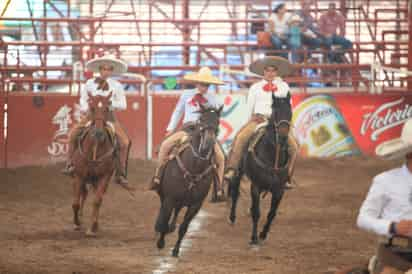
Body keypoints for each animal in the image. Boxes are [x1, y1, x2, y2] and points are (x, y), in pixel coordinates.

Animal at [70, 93, 116, 237]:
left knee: (95, 198)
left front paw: (93, 228)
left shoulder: (104, 177)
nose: (99, 133)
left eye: (107, 108)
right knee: (82, 195)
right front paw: (77, 223)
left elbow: (97, 201)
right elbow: (75, 203)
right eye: (92, 108)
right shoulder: (78, 176)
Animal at [229, 93, 292, 245]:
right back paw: (232, 218)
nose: (283, 136)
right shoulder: (256, 186)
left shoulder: (279, 190)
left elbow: (271, 213)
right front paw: (254, 238)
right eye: (275, 112)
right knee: (235, 193)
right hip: (239, 173)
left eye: (290, 112)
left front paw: (263, 234)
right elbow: (257, 213)